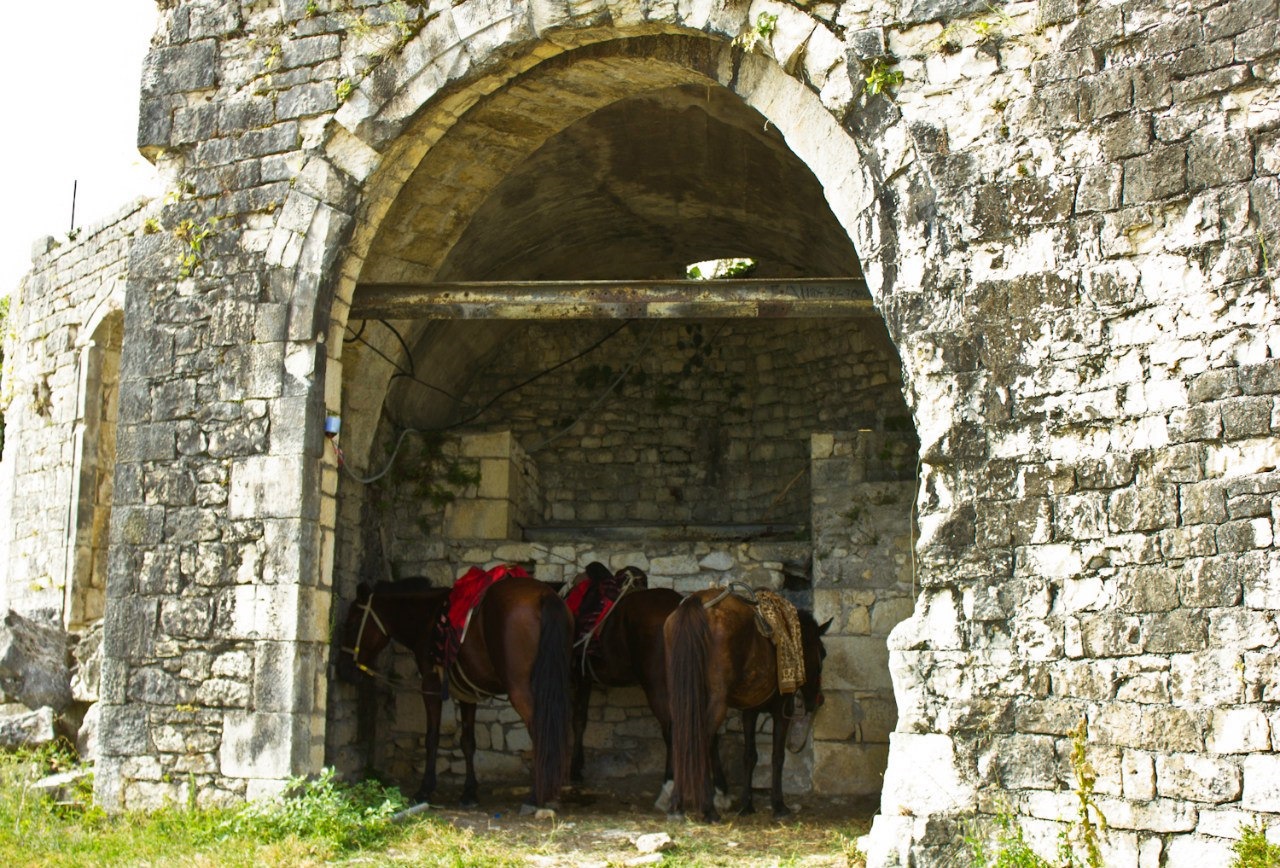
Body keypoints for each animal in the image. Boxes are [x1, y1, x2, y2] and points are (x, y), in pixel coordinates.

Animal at [335, 573, 570, 814]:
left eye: (352, 625)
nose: (343, 668)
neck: (427, 617)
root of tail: (544, 595)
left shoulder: (430, 685)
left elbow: (432, 737)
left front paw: (425, 789)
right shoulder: (468, 693)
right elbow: (467, 742)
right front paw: (469, 792)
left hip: (519, 689)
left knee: (540, 731)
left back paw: (536, 795)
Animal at [660, 591, 829, 824]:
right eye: (822, 653)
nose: (817, 700)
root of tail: (696, 603)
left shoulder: (750, 711)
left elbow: (750, 756)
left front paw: (747, 804)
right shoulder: (782, 711)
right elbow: (777, 756)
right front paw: (779, 806)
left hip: (682, 699)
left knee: (680, 738)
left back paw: (677, 805)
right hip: (715, 702)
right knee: (701, 741)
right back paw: (708, 808)